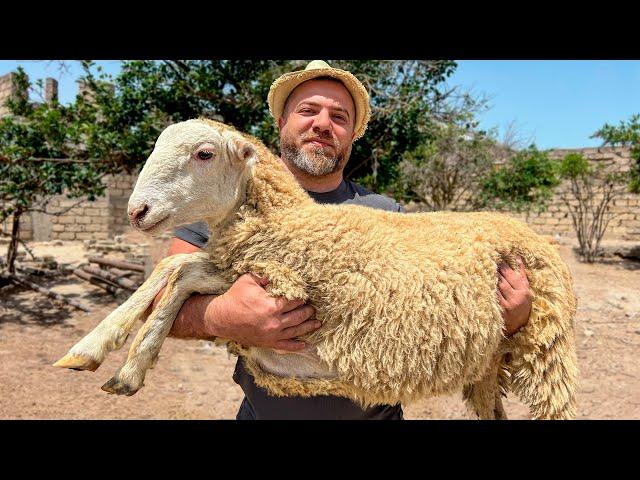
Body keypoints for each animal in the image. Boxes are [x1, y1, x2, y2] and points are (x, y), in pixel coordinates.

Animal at [52, 118, 576, 418]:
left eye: (204, 153)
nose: (136, 211)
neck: (289, 221)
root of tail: (531, 232)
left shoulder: (280, 280)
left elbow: (178, 273)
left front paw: (125, 360)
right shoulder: (240, 268)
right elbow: (173, 269)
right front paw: (96, 352)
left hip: (546, 349)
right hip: (486, 366)